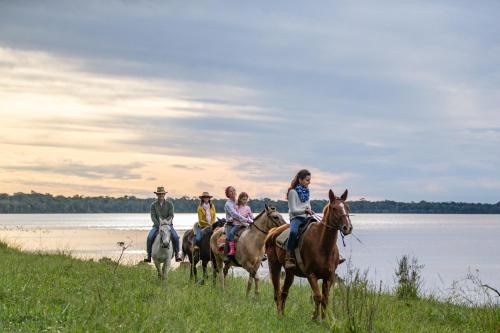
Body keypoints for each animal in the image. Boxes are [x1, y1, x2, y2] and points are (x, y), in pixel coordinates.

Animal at [264, 188, 354, 320]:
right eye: (334, 208)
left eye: (347, 207)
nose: (347, 227)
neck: (323, 246)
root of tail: (273, 231)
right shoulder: (311, 275)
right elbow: (317, 297)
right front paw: (314, 318)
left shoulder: (329, 277)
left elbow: (325, 299)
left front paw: (324, 320)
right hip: (274, 265)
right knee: (277, 292)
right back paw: (279, 315)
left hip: (290, 272)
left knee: (284, 292)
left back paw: (283, 315)